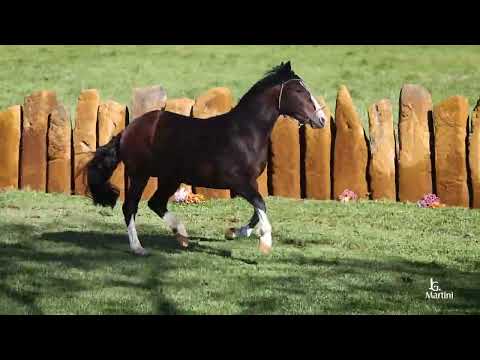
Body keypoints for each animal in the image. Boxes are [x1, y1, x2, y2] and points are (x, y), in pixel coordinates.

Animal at [86, 62, 326, 258]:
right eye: (299, 91)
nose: (321, 119)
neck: (244, 133)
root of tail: (127, 130)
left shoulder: (251, 183)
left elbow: (257, 211)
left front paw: (233, 232)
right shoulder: (239, 182)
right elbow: (260, 205)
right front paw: (265, 243)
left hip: (170, 178)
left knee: (156, 203)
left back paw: (182, 235)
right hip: (140, 175)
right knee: (130, 207)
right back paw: (138, 247)